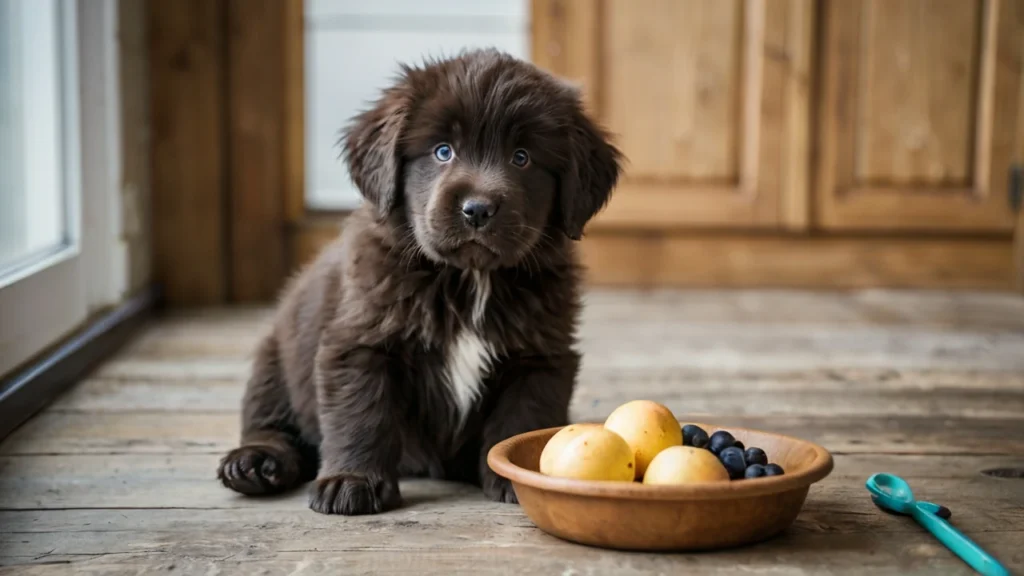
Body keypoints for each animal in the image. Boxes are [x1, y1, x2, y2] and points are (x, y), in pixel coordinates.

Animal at [218, 49, 622, 512]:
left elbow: (524, 415)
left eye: (522, 157)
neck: (469, 280)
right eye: (442, 151)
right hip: (276, 357)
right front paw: (352, 480)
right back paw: (255, 464)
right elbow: (362, 413)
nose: (477, 209)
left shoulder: (541, 355)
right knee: (272, 422)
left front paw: (514, 474)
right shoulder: (360, 343)